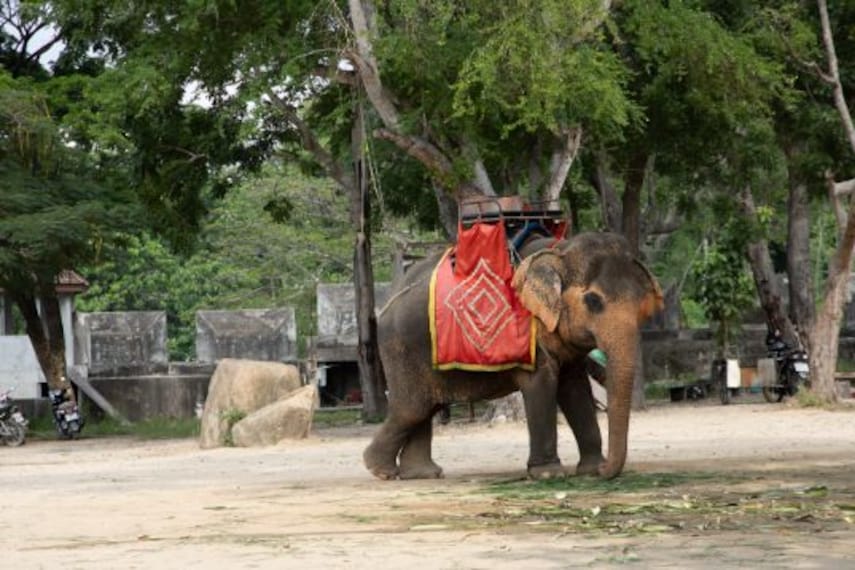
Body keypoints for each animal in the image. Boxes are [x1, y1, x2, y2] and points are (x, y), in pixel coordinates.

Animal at [363, 231, 664, 480]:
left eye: (642, 305)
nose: (605, 471)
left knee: (426, 407)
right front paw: (549, 474)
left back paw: (422, 474)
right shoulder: (529, 334)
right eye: (593, 301)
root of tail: (389, 299)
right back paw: (381, 471)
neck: (559, 251)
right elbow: (541, 385)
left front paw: (590, 469)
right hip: (402, 348)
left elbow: (574, 388)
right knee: (412, 408)